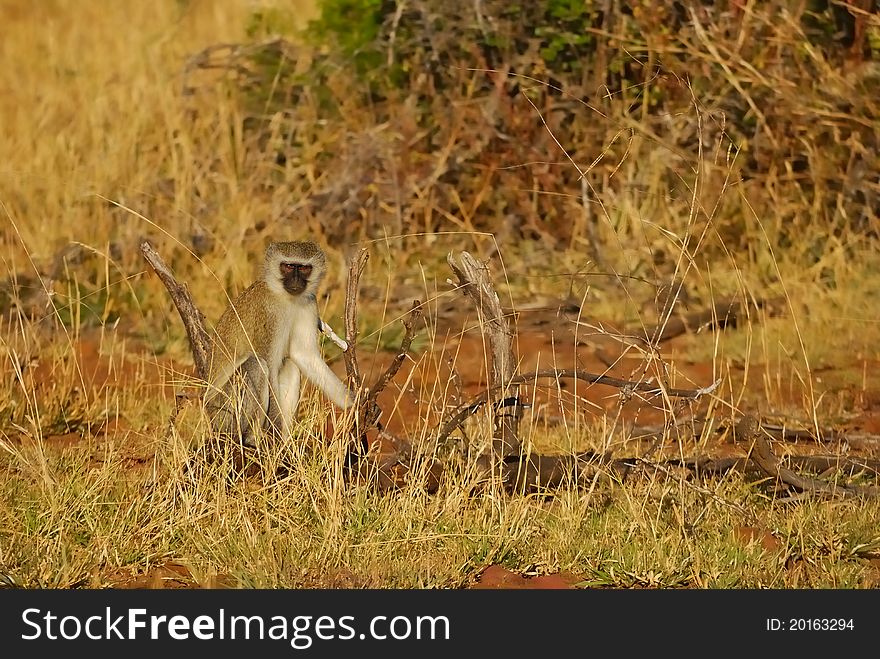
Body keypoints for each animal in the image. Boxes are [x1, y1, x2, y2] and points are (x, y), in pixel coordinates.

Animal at [205, 240, 354, 446]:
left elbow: (303, 354)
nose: (296, 281)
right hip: (223, 414)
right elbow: (271, 366)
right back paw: (251, 440)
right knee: (257, 365)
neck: (285, 297)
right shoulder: (269, 315)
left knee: (291, 365)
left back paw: (285, 442)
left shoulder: (309, 303)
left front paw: (353, 402)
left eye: (304, 268)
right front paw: (274, 431)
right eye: (289, 266)